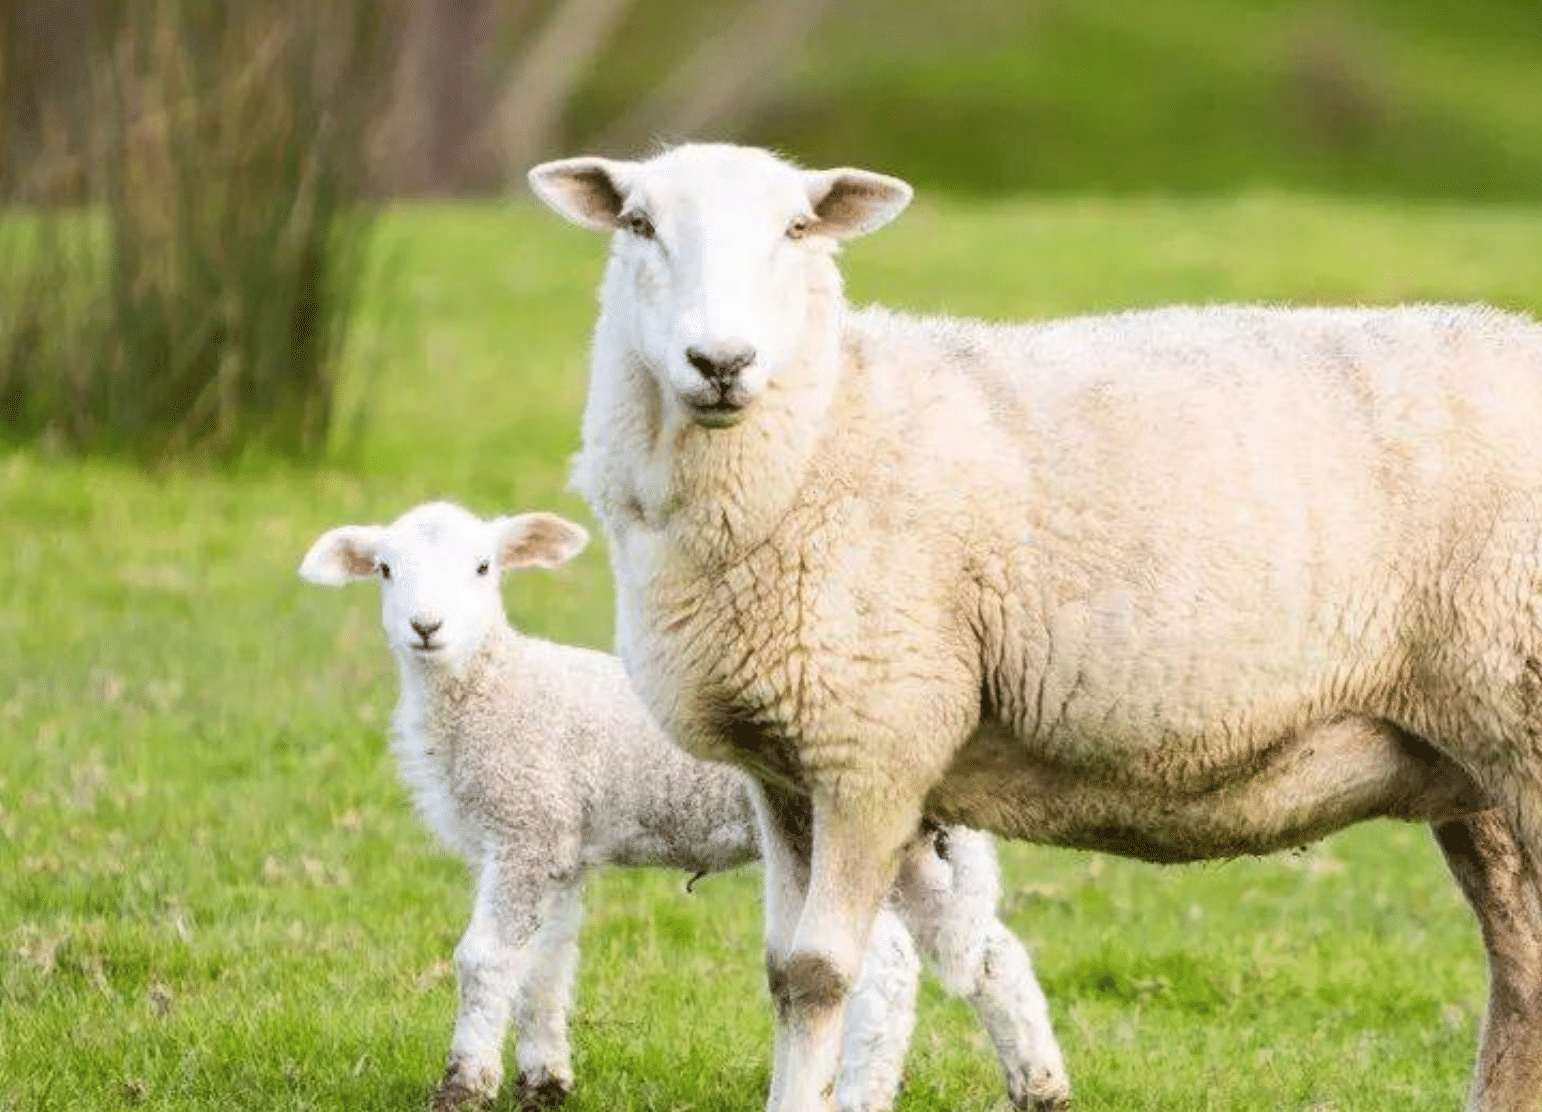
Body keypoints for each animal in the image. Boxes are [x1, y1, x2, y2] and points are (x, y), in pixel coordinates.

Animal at [300, 499, 1073, 1110]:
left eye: (484, 568)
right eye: (384, 570)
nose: (426, 628)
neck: (493, 687)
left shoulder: (524, 825)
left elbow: (485, 960)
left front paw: (463, 1086)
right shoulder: (558, 844)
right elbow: (546, 967)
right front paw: (544, 1083)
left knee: (885, 970)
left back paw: (860, 1095)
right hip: (913, 844)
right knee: (988, 953)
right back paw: (1041, 1087)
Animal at [527, 143, 1542, 1110]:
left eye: (797, 229)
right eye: (639, 223)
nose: (721, 362)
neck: (826, 427)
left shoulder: (874, 743)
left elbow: (819, 973)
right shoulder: (784, 769)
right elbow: (782, 972)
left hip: (1518, 709)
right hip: (1472, 762)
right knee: (1521, 960)